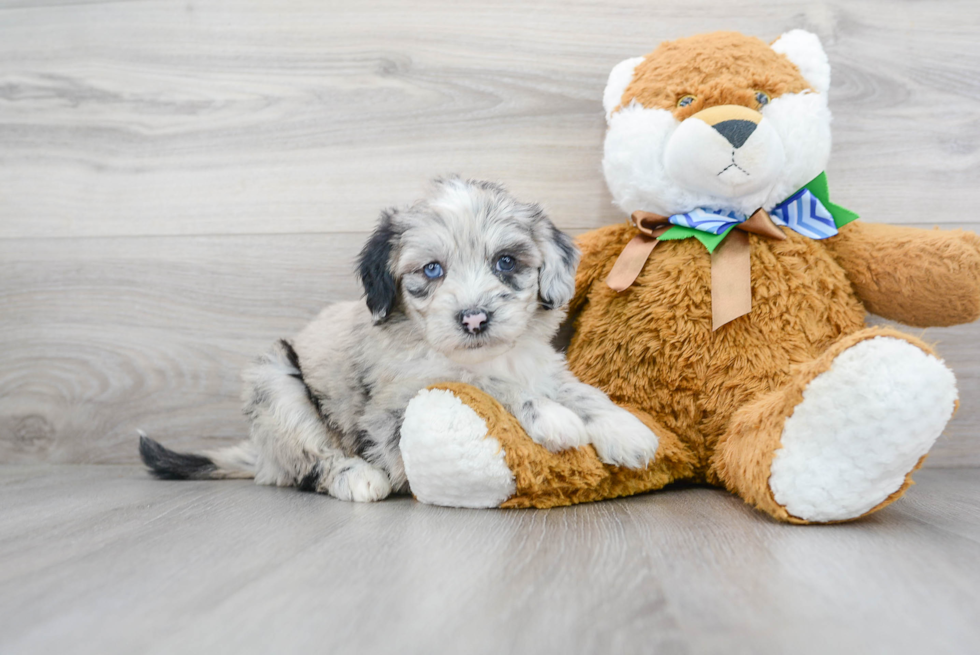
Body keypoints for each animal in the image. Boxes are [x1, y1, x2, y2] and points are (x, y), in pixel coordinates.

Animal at [138, 179, 660, 502]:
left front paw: (624, 429)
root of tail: (262, 454)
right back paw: (358, 478)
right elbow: (488, 387)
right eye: (431, 270)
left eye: (506, 262)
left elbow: (578, 390)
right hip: (275, 383)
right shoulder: (400, 401)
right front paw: (553, 418)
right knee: (309, 463)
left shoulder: (540, 363)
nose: (474, 318)